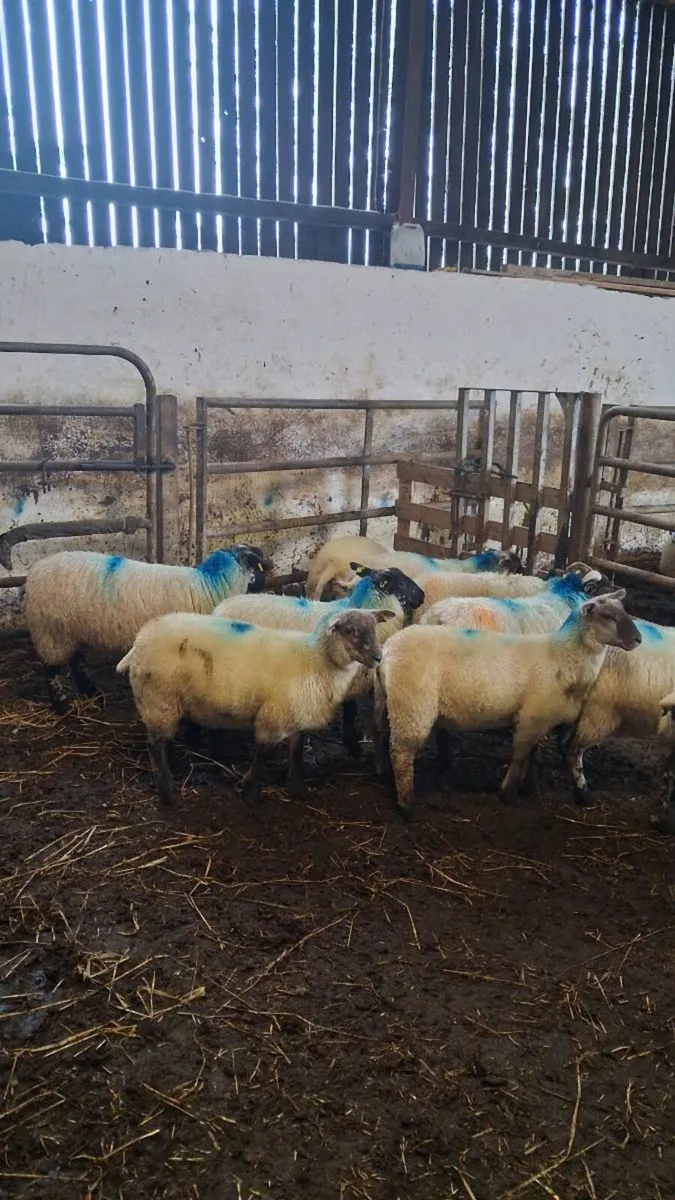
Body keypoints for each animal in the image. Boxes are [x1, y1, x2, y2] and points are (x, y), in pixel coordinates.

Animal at [24, 544, 268, 714]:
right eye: (258, 566)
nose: (267, 585)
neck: (207, 587)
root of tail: (34, 572)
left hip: (71, 631)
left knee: (76, 663)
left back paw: (93, 694)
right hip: (51, 632)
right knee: (51, 670)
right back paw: (62, 706)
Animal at [117, 607, 394, 805]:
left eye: (374, 627)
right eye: (350, 630)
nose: (378, 657)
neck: (316, 660)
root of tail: (141, 639)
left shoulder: (295, 713)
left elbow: (296, 751)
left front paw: (297, 787)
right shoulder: (273, 716)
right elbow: (263, 753)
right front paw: (249, 790)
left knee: (161, 742)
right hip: (158, 699)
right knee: (154, 746)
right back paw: (168, 793)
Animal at [373, 592, 640, 818]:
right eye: (607, 616)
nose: (637, 639)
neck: (564, 657)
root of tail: (388, 651)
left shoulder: (538, 715)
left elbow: (531, 754)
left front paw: (530, 787)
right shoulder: (532, 716)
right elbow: (521, 755)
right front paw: (509, 794)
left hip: (388, 701)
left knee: (382, 737)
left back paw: (384, 775)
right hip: (413, 706)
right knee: (402, 752)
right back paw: (406, 805)